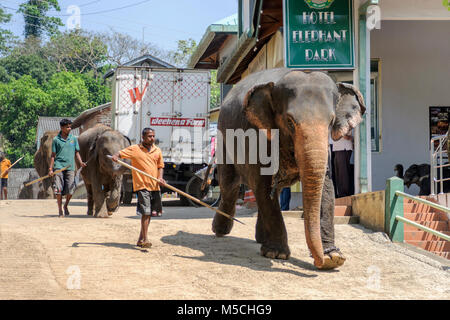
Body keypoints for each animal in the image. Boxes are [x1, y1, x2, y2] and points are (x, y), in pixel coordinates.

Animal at [212, 69, 366, 270]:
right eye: (290, 121)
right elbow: (262, 185)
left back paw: (260, 239)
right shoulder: (257, 138)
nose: (319, 262)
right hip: (223, 139)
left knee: (272, 191)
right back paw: (220, 231)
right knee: (230, 186)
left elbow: (326, 188)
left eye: (331, 121)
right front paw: (277, 254)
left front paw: (333, 257)